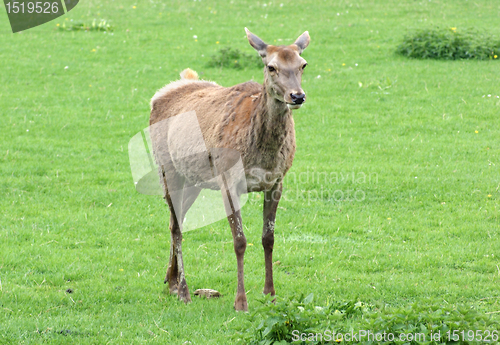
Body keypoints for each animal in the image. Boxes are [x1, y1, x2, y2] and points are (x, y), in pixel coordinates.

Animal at [150, 28, 310, 310]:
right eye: (271, 67)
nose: (297, 96)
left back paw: (170, 282)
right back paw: (183, 291)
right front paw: (240, 301)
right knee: (176, 226)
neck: (262, 154)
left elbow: (268, 238)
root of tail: (160, 94)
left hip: (194, 179)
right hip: (167, 170)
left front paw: (270, 294)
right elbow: (240, 241)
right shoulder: (228, 180)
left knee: (174, 221)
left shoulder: (277, 182)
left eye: (303, 64)